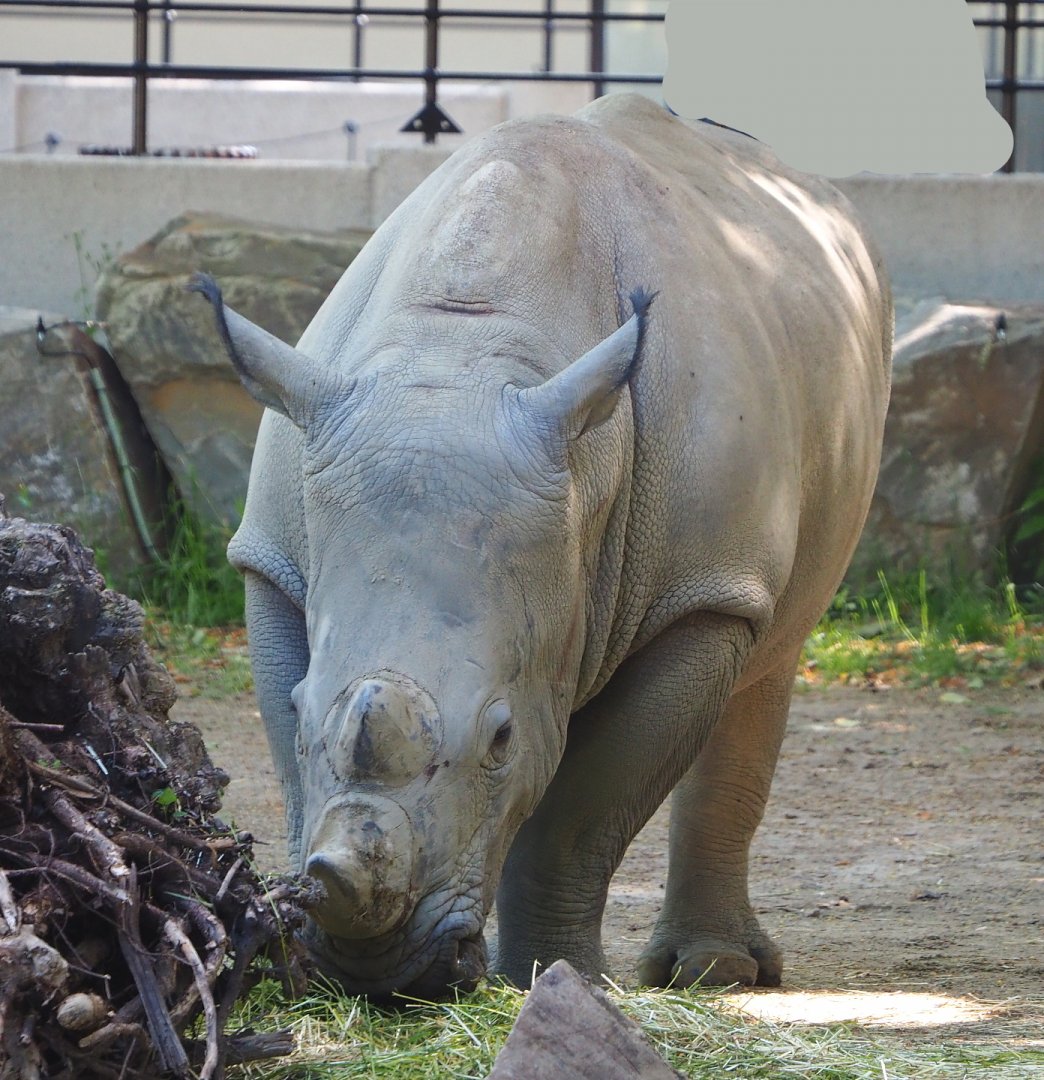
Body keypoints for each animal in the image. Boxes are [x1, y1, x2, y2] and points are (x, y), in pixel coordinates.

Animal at [192, 93, 891, 998]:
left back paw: (715, 973)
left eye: (500, 739)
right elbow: (288, 757)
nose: (378, 973)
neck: (462, 353)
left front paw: (557, 981)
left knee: (768, 645)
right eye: (306, 709)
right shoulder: (273, 557)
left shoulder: (696, 593)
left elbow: (583, 808)